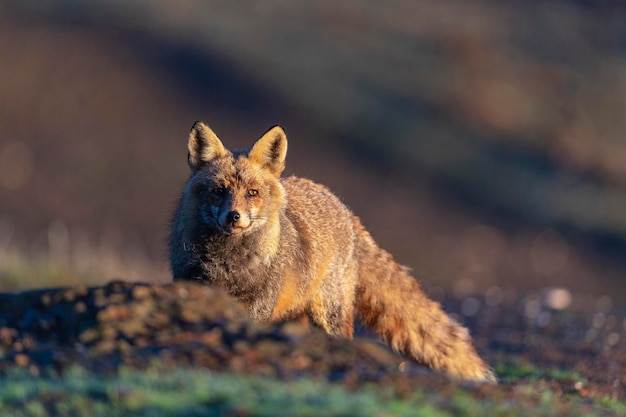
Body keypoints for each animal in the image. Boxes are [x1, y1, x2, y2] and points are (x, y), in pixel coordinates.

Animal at [168, 119, 494, 380]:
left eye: (252, 193)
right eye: (218, 191)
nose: (233, 217)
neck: (228, 264)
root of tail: (343, 207)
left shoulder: (259, 304)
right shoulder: (192, 283)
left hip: (330, 314)